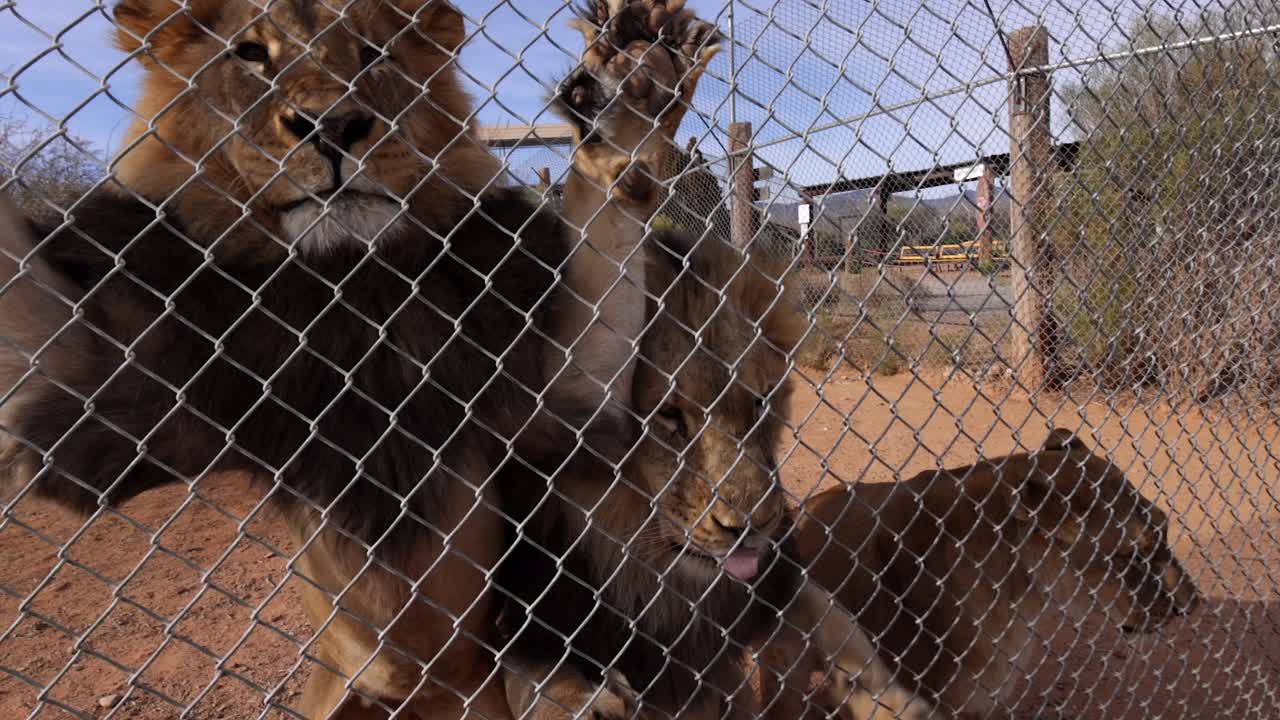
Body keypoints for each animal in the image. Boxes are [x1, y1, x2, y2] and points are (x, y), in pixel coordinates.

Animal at [0, 1, 718, 718]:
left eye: (373, 55)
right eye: (250, 54)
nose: (331, 125)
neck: (353, 279)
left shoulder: (555, 396)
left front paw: (630, 89)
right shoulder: (104, 375)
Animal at [493, 229, 927, 720]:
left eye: (759, 402)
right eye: (667, 414)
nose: (751, 527)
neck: (662, 582)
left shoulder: (770, 584)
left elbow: (834, 618)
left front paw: (891, 699)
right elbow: (535, 674)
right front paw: (587, 703)